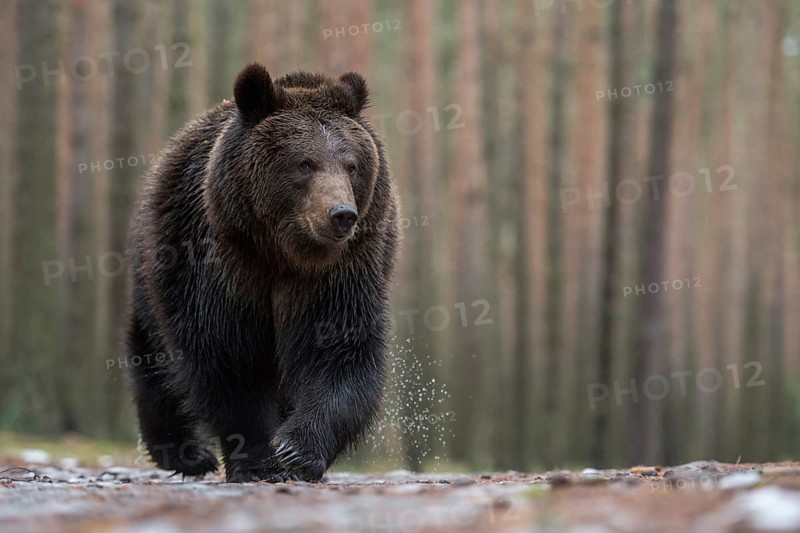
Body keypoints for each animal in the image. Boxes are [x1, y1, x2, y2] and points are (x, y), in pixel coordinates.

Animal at [125, 63, 399, 482]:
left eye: (351, 165)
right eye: (305, 163)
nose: (341, 214)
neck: (284, 254)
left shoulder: (341, 273)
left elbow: (340, 350)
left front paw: (297, 450)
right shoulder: (222, 263)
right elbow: (229, 357)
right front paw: (259, 462)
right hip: (156, 268)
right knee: (154, 357)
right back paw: (187, 453)